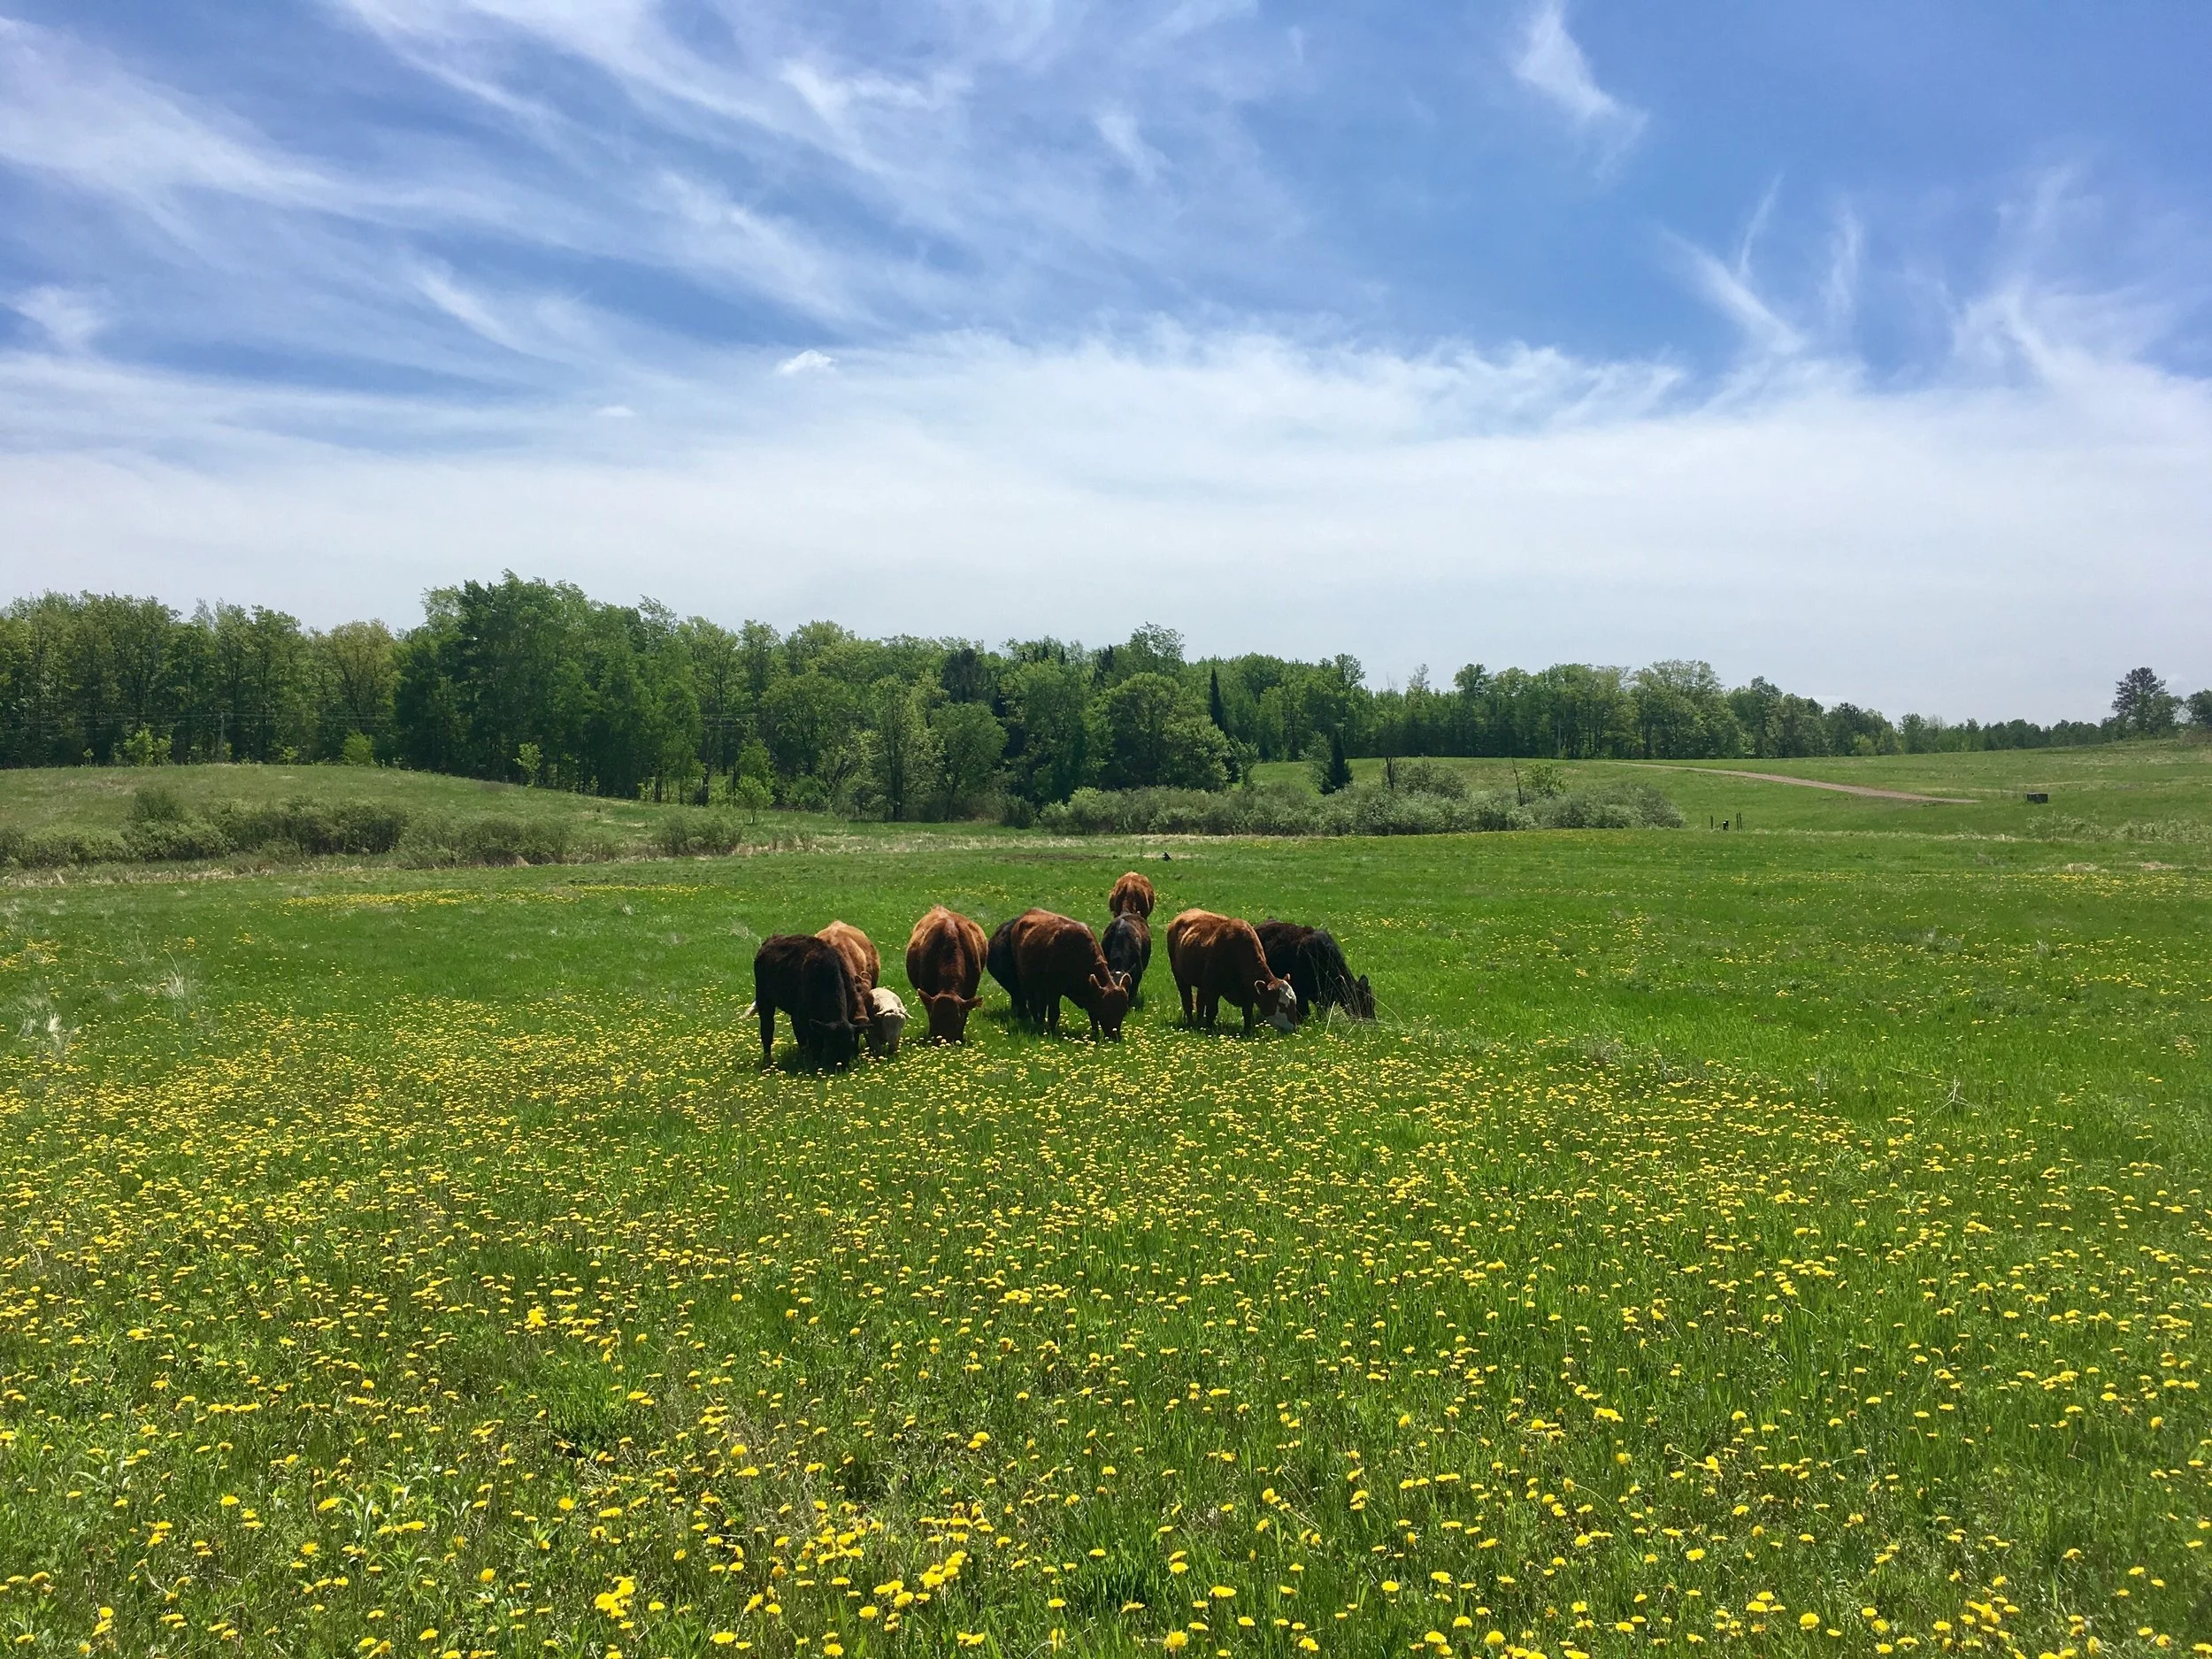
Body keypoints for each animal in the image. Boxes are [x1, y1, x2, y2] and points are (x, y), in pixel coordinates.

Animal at [751, 934, 862, 1067]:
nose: (841, 1066)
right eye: (831, 1043)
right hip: (764, 1002)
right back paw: (769, 1060)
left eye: (850, 1044)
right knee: (767, 1029)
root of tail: (771, 940)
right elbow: (814, 1043)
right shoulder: (806, 1020)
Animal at [1009, 908, 1131, 1040]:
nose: (1116, 1038)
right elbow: (1054, 1013)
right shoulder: (1053, 990)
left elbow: (1092, 1014)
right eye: (1105, 1010)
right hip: (1026, 981)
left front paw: (1095, 1033)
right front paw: (1051, 1032)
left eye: (1124, 1011)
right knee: (1033, 1004)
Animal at [1165, 909, 1298, 1034]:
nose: (1292, 1028)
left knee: (1199, 1002)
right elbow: (1212, 1011)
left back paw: (1199, 1022)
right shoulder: (1213, 989)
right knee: (1187, 1001)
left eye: (1294, 1001)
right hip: (1179, 975)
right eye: (1281, 1005)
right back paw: (1192, 1023)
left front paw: (1247, 1031)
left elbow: (1247, 1013)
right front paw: (1209, 1029)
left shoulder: (1248, 991)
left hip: (1201, 984)